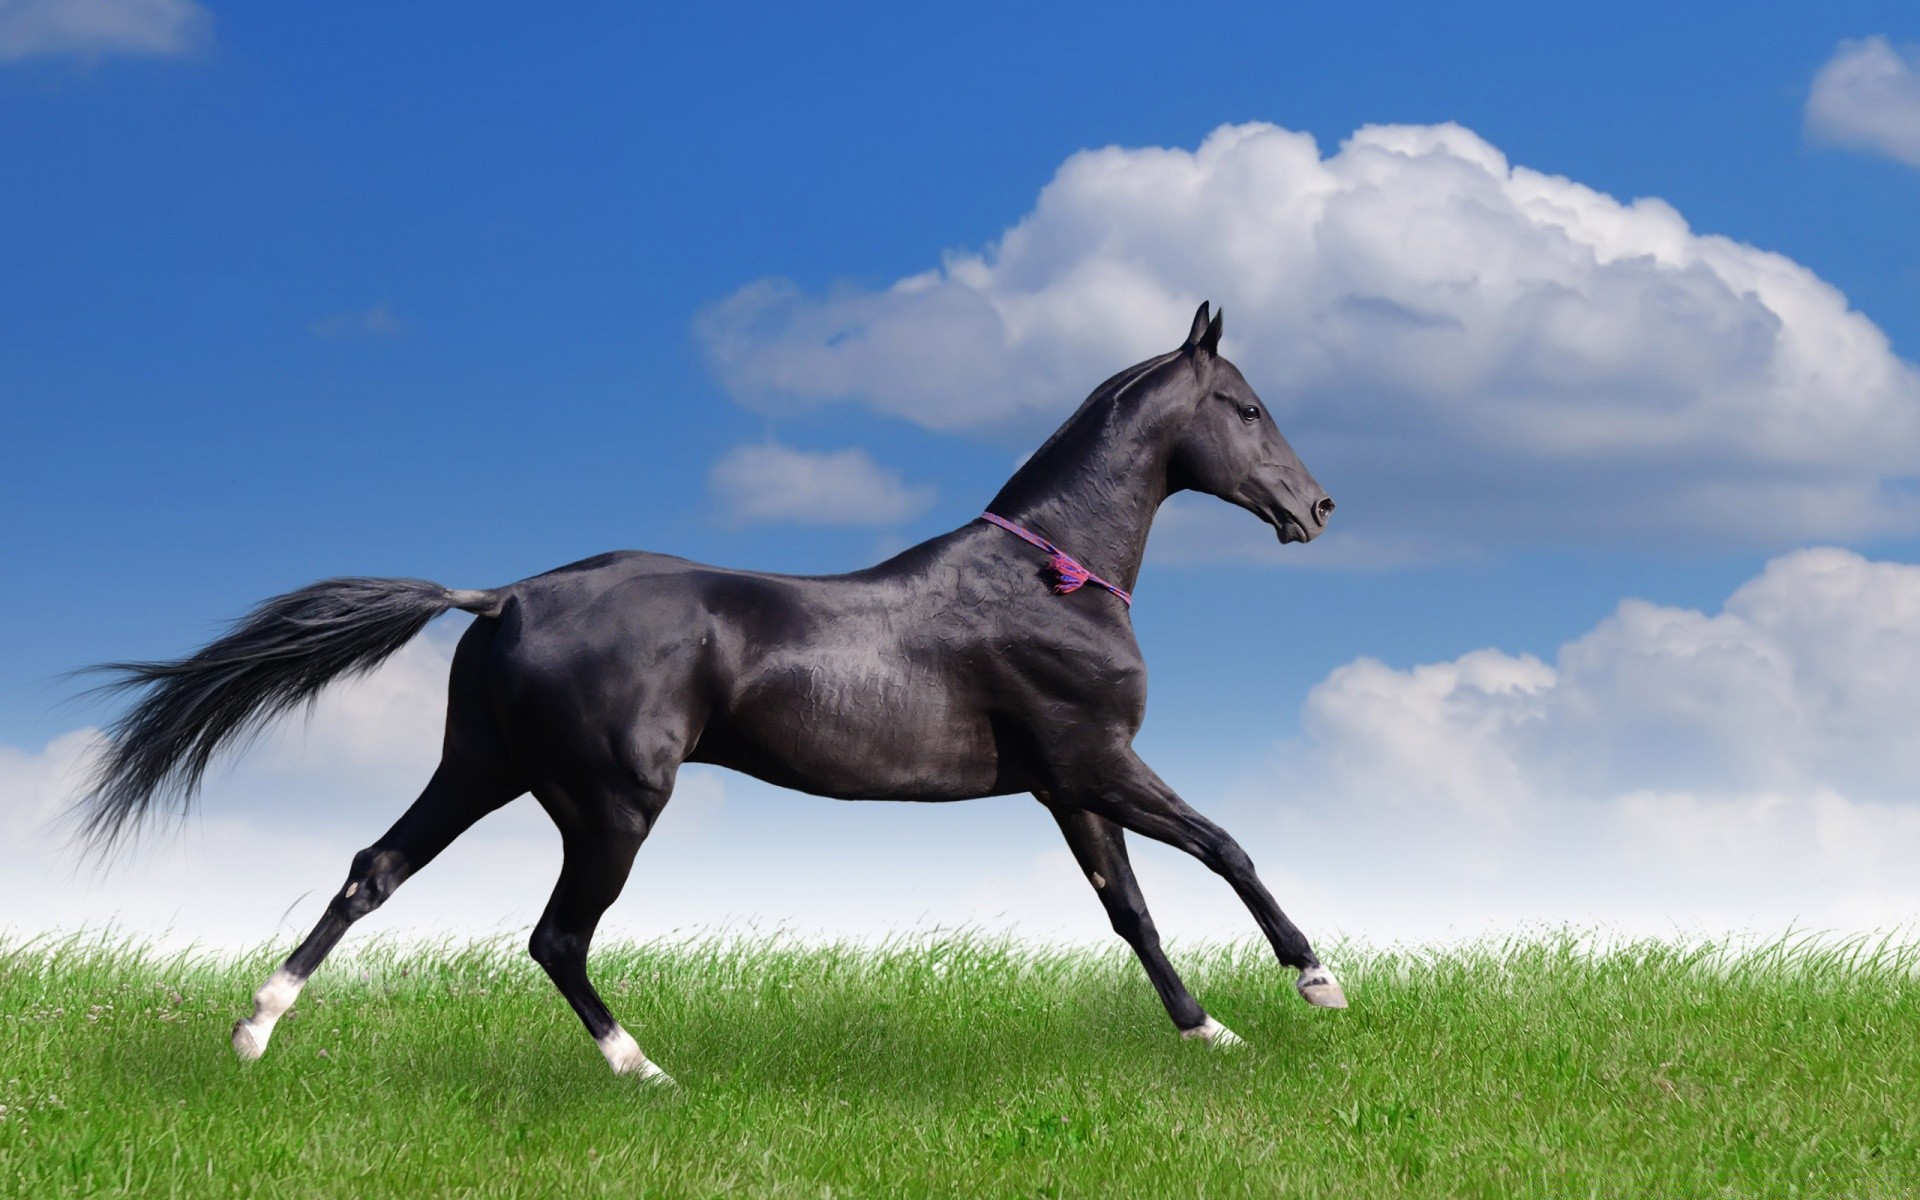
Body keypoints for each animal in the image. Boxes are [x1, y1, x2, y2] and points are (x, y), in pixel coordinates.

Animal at [71, 301, 1336, 1082]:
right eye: (1247, 408)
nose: (1317, 508)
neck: (1050, 576)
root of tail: (503, 599)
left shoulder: (1067, 785)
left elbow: (1132, 912)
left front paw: (1209, 1032)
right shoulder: (1097, 760)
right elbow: (1226, 847)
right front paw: (1315, 982)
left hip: (481, 770)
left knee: (374, 872)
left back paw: (253, 1030)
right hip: (611, 805)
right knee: (555, 937)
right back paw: (644, 1069)